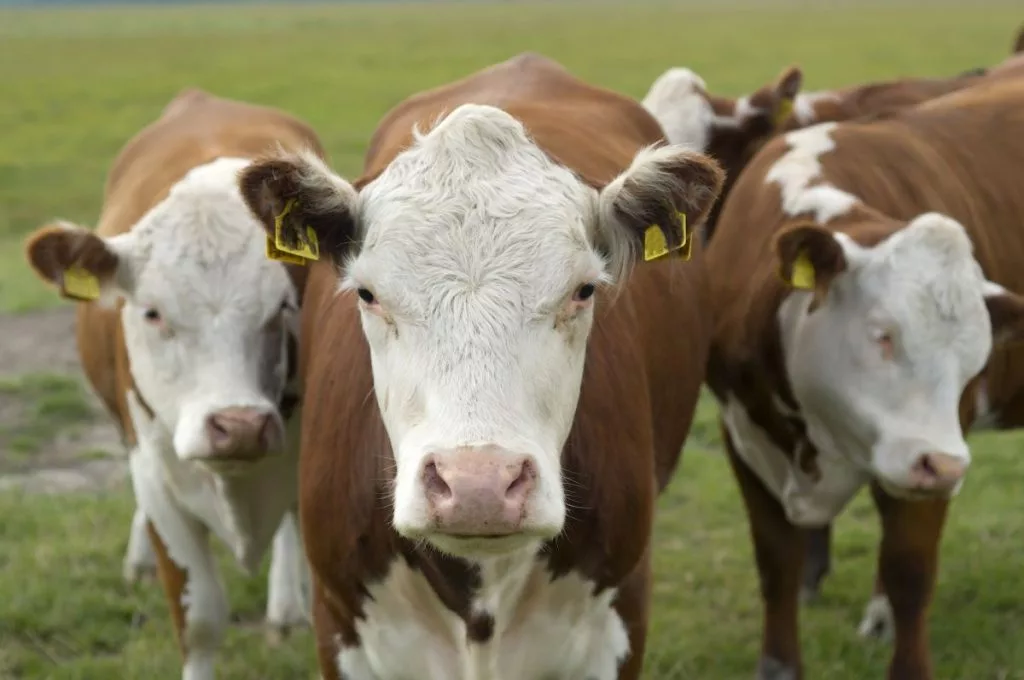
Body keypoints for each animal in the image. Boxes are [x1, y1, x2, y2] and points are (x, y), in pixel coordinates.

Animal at [704, 75, 1024, 680]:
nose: (947, 466)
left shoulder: (934, 451)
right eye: (882, 334)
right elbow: (776, 562)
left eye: (974, 358)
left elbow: (909, 572)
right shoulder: (741, 436)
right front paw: (780, 663)